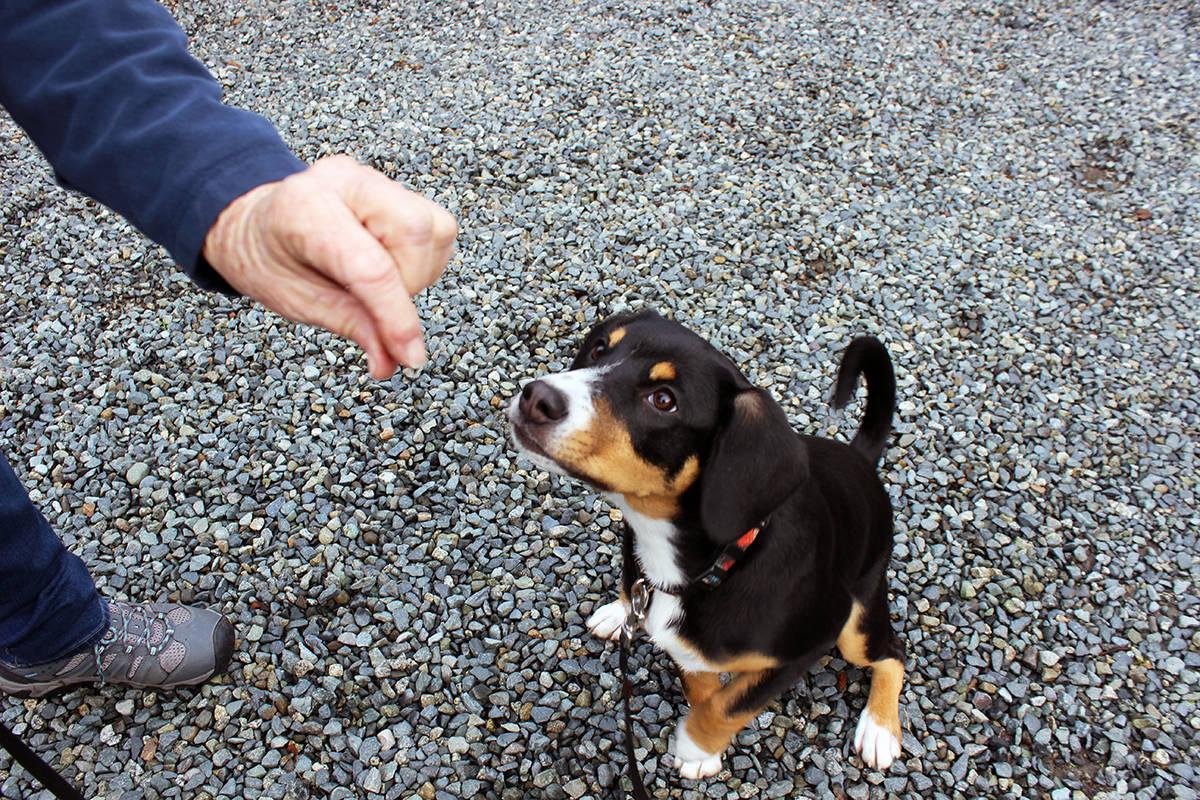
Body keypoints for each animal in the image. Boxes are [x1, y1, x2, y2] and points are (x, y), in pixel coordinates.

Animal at [508, 311, 907, 782]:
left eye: (664, 400)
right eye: (600, 348)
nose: (536, 397)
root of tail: (861, 460)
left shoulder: (811, 640)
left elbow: (731, 703)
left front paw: (696, 746)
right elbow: (702, 687)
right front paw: (704, 750)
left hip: (856, 624)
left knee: (892, 654)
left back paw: (880, 730)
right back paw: (618, 610)